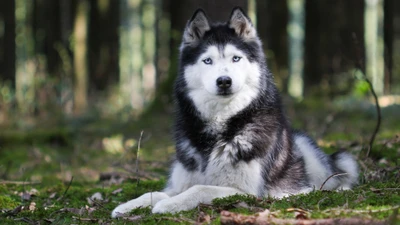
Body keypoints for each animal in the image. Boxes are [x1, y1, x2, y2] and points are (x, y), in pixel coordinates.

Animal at [111, 7, 358, 217]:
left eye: (236, 58)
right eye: (207, 60)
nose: (224, 81)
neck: (221, 125)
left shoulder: (245, 190)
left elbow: (200, 188)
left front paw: (169, 205)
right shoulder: (180, 181)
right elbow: (155, 192)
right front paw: (127, 206)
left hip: (308, 149)